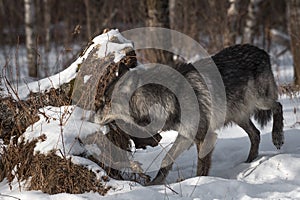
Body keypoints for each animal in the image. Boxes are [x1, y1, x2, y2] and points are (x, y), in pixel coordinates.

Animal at [95, 43, 284, 184]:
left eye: (106, 101)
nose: (94, 115)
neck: (168, 98)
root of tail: (262, 51)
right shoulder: (185, 135)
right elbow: (166, 160)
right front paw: (155, 184)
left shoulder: (204, 136)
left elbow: (201, 165)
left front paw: (199, 183)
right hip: (238, 115)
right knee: (256, 133)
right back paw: (249, 162)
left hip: (258, 101)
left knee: (278, 106)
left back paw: (277, 137)